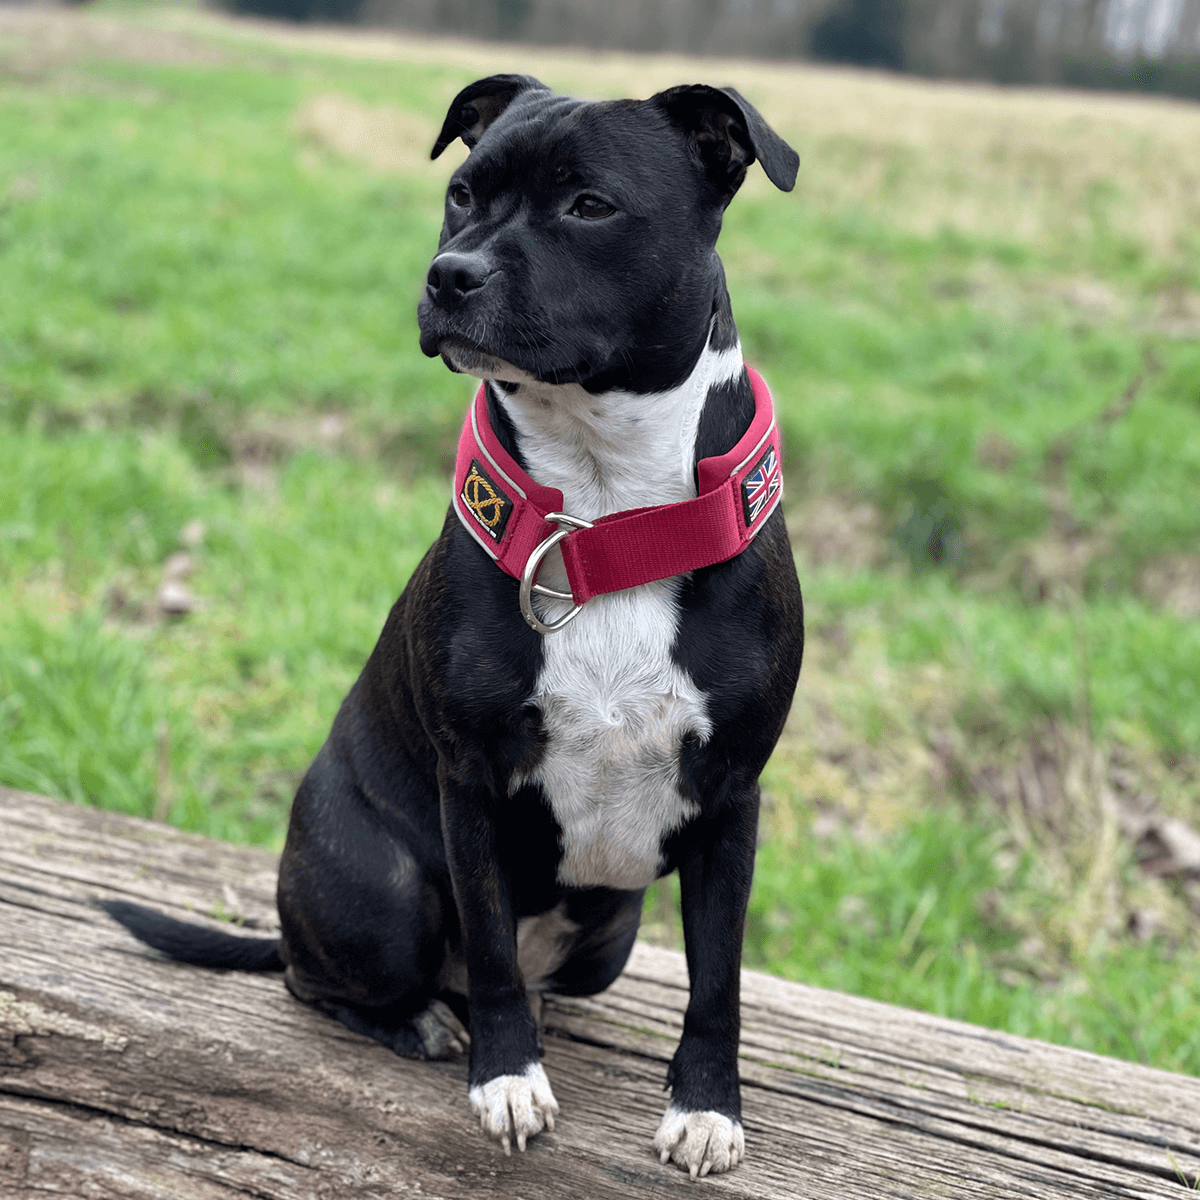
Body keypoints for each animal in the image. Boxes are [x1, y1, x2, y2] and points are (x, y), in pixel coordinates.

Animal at [105, 77, 806, 1180]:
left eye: (590, 206)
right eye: (463, 194)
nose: (450, 274)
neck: (603, 517)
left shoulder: (732, 801)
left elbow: (719, 977)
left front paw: (706, 1107)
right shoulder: (470, 784)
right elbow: (487, 946)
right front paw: (507, 1079)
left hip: (609, 934)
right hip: (385, 888)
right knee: (326, 977)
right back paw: (423, 1020)